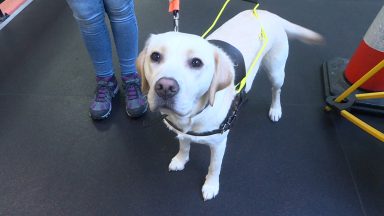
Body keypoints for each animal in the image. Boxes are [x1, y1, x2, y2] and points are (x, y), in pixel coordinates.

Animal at [136, 9, 322, 200]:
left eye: (196, 62)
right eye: (155, 56)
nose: (165, 87)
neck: (193, 116)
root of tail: (267, 12)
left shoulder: (218, 144)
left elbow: (214, 167)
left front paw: (211, 185)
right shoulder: (182, 132)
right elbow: (184, 145)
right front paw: (181, 159)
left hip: (276, 72)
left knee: (276, 91)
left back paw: (275, 109)